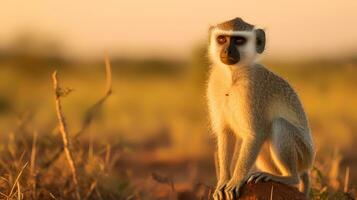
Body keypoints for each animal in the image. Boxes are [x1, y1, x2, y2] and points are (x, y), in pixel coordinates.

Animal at [206, 17, 314, 200]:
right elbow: (226, 132)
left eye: (239, 40)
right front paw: (223, 180)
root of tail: (307, 166)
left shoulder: (253, 89)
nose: (227, 51)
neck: (232, 76)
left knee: (279, 125)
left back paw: (289, 177)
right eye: (222, 39)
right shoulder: (214, 84)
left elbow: (255, 133)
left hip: (304, 153)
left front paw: (236, 180)